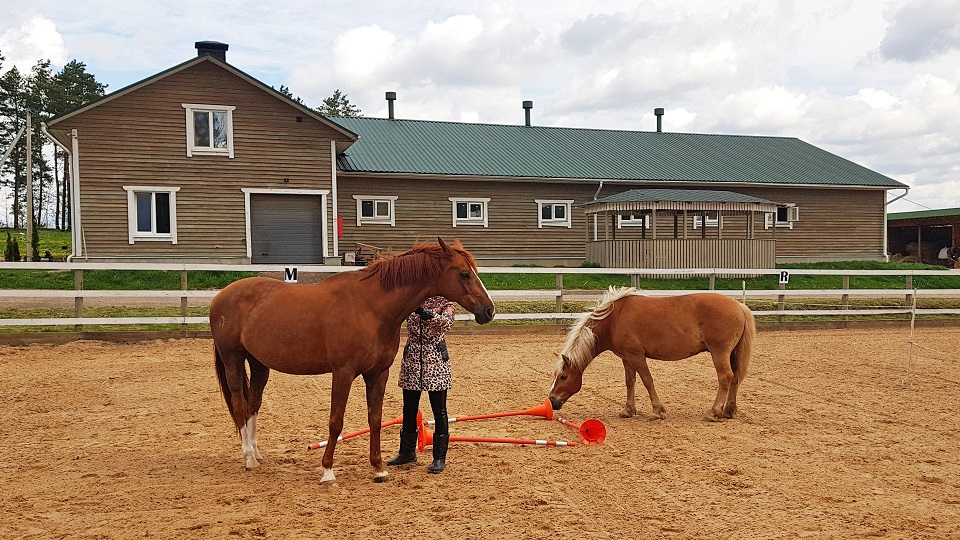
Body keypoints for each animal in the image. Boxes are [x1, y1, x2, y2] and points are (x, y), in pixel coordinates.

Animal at [210, 238, 495, 483]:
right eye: (464, 274)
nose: (489, 310)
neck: (371, 306)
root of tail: (221, 296)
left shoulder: (378, 373)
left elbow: (375, 419)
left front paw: (378, 468)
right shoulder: (343, 373)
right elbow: (336, 421)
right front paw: (327, 470)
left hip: (259, 364)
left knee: (253, 404)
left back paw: (256, 453)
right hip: (233, 359)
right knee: (239, 403)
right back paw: (248, 457)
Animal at [548, 286, 755, 421]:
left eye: (563, 376)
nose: (551, 400)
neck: (614, 319)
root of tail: (739, 306)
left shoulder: (636, 356)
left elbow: (647, 380)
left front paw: (657, 411)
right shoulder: (626, 358)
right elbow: (630, 382)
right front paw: (628, 410)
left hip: (719, 352)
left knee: (725, 377)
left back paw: (714, 412)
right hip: (732, 354)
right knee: (735, 378)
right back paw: (729, 411)